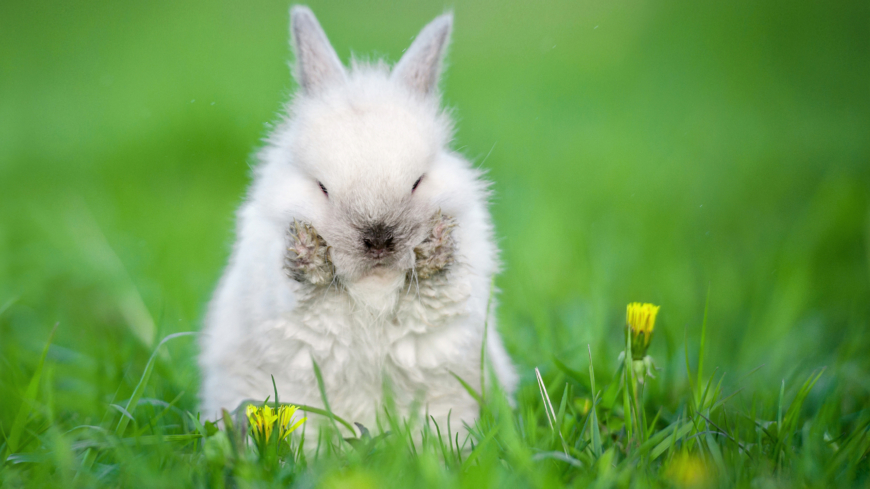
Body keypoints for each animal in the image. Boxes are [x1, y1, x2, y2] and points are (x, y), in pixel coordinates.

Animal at [199, 5, 517, 437]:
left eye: (418, 181)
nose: (379, 240)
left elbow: (441, 285)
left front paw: (435, 244)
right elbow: (297, 286)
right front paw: (307, 250)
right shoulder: (276, 286)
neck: (373, 289)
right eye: (321, 187)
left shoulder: (456, 289)